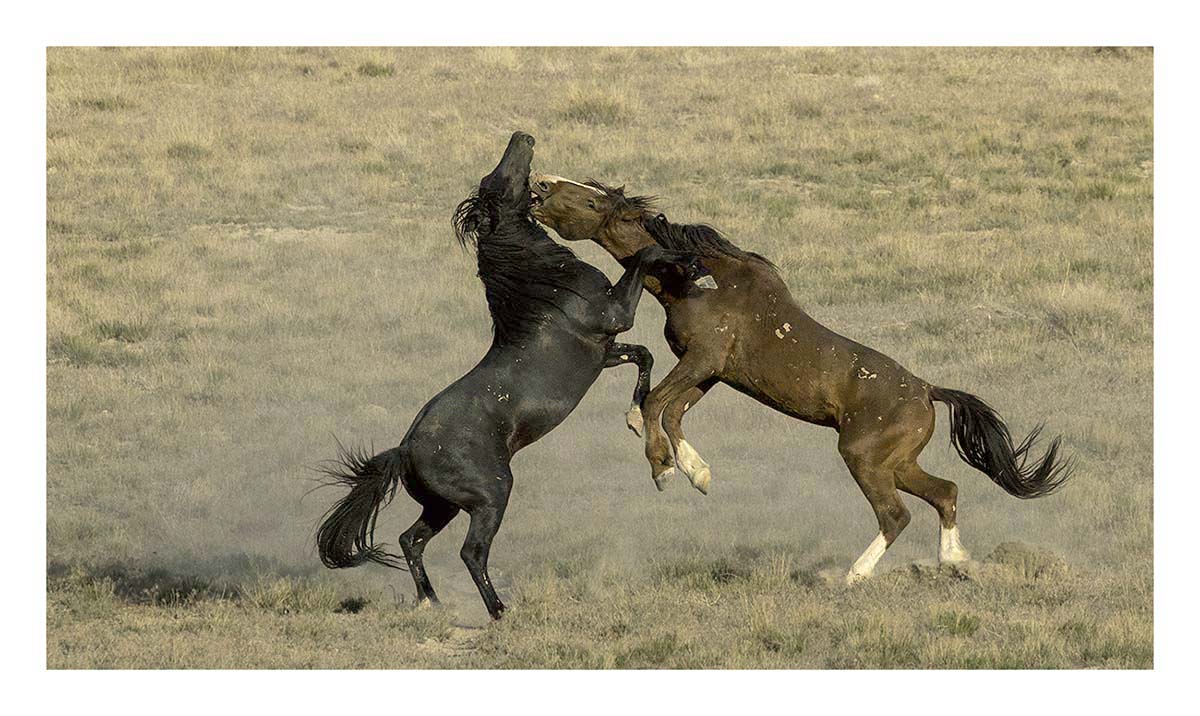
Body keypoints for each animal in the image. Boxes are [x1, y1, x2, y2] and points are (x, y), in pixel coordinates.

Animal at [315, 133, 704, 618]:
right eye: (498, 180)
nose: (523, 138)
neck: (547, 286)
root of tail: (404, 450)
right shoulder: (615, 314)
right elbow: (644, 258)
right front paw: (685, 258)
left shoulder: (605, 352)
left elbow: (645, 356)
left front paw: (635, 417)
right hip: (491, 496)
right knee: (471, 552)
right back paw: (499, 610)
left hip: (442, 506)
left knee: (411, 540)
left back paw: (431, 602)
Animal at [529, 174, 1073, 584]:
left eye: (591, 198)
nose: (540, 185)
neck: (697, 279)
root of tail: (927, 391)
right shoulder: (710, 372)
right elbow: (671, 410)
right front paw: (696, 473)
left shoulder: (702, 361)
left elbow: (657, 403)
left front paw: (663, 470)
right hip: (897, 463)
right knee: (946, 492)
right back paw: (953, 562)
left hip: (864, 458)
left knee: (896, 515)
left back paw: (855, 576)